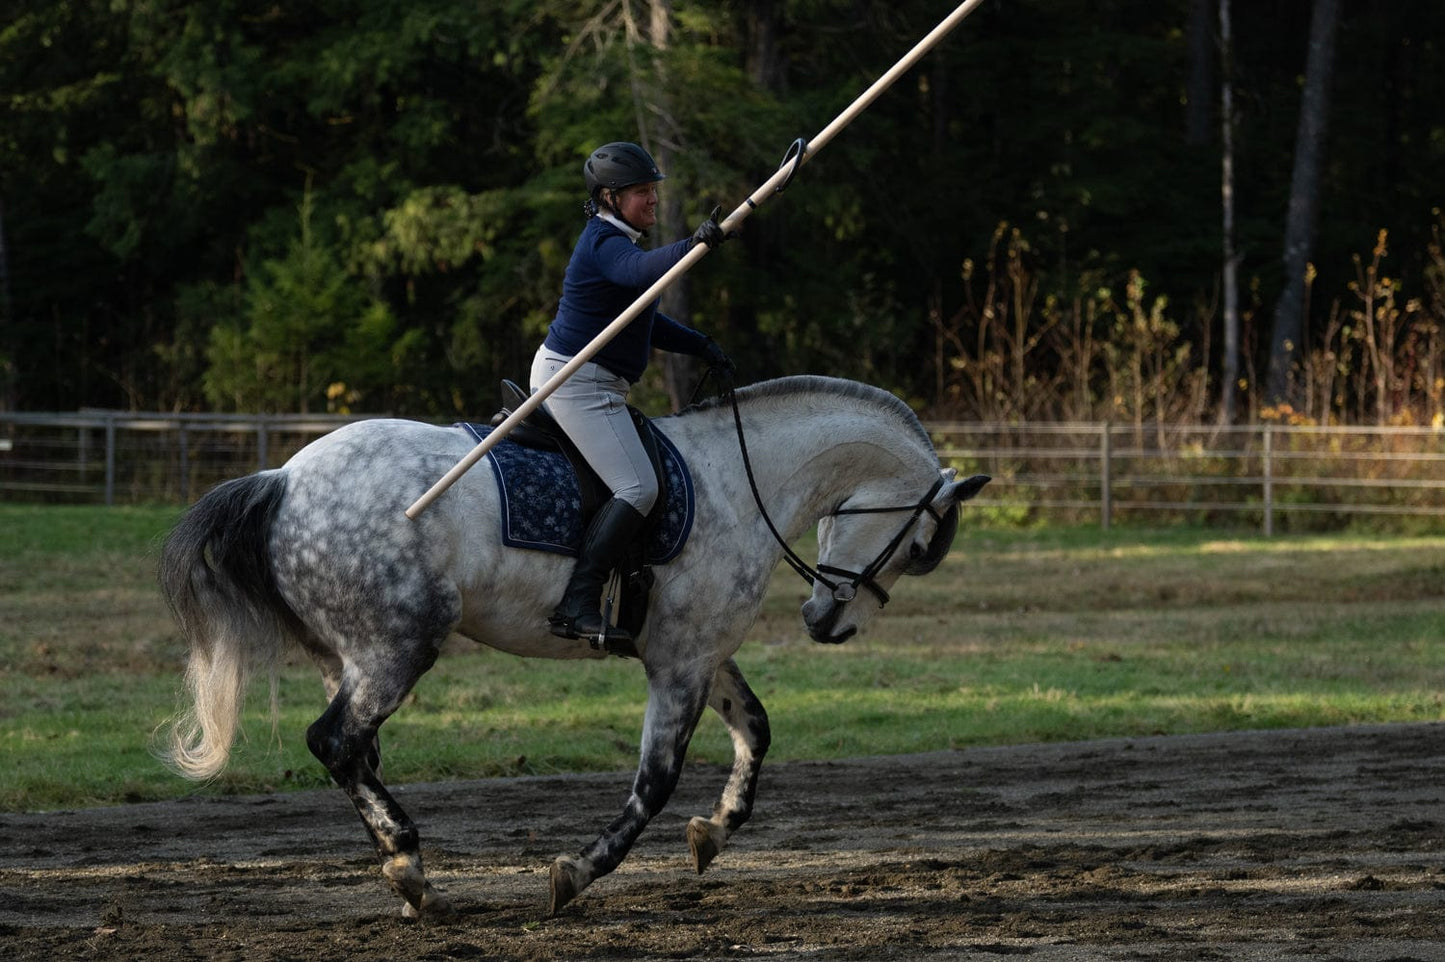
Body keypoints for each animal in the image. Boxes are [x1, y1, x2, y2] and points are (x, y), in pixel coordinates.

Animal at [161, 375, 994, 912]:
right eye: (917, 543)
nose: (829, 623)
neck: (738, 479)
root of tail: (282, 479)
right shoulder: (679, 664)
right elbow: (655, 780)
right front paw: (578, 872)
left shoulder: (697, 651)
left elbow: (755, 730)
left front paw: (714, 831)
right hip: (398, 647)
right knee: (334, 741)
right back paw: (407, 866)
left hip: (352, 656)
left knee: (356, 751)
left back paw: (408, 873)